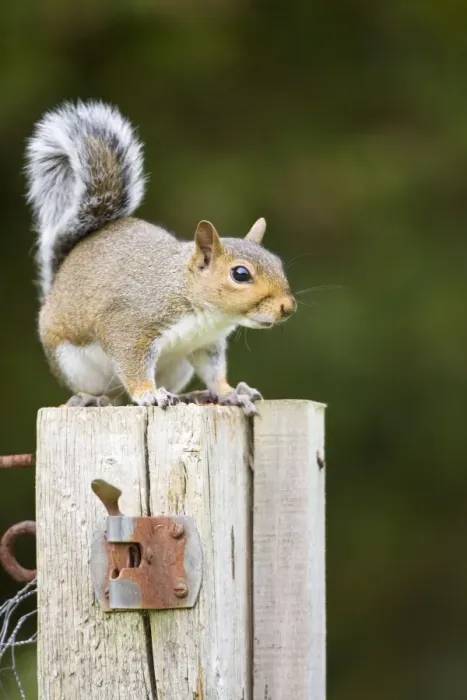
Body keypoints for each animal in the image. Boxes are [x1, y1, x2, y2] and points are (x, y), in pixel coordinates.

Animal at [25, 100, 296, 415]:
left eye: (277, 263)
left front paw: (230, 392)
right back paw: (93, 399)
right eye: (240, 274)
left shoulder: (205, 345)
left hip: (177, 367)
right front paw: (148, 394)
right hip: (75, 364)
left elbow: (215, 373)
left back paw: (197, 395)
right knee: (112, 395)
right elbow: (132, 365)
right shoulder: (130, 325)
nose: (288, 307)